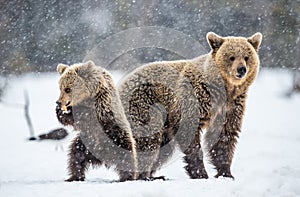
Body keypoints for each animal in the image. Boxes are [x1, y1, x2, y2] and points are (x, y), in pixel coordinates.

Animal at [118, 31, 262, 180]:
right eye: (231, 57)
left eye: (246, 57)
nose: (241, 69)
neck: (224, 91)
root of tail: (121, 85)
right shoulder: (194, 99)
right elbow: (190, 133)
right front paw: (201, 173)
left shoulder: (231, 107)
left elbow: (225, 137)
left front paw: (226, 173)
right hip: (144, 105)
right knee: (146, 141)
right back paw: (139, 175)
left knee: (163, 148)